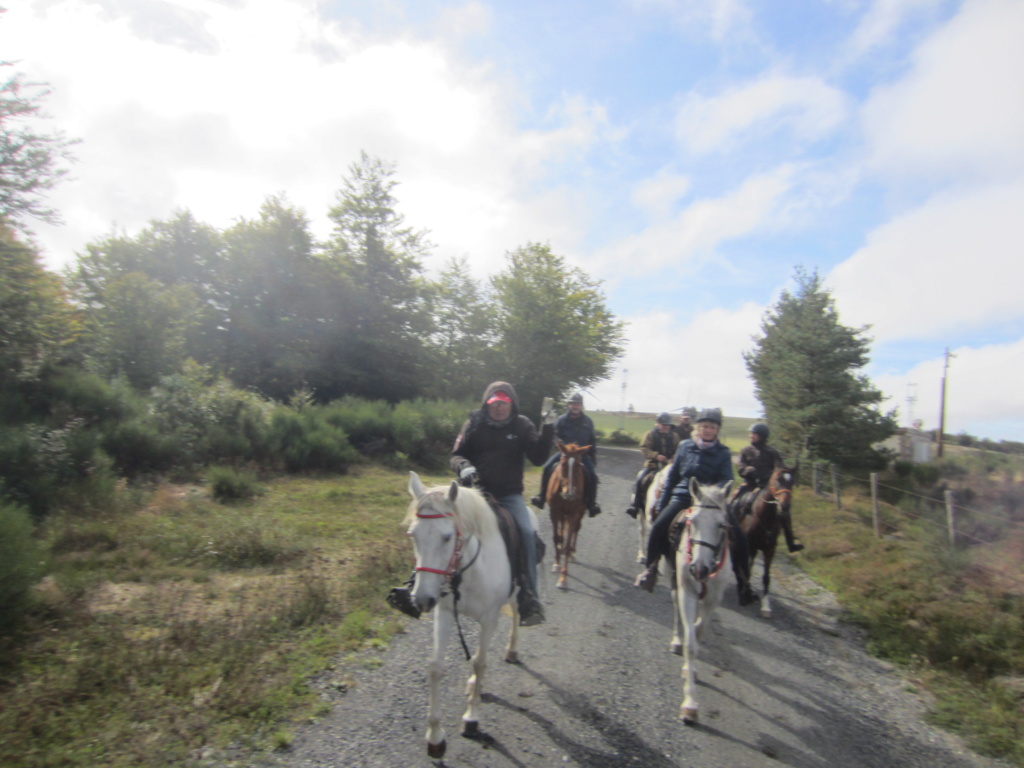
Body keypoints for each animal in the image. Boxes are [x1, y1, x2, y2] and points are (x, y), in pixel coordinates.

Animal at [405, 473, 520, 761]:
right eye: (412, 535)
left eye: (447, 537)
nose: (421, 599)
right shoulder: (444, 613)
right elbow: (436, 667)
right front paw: (435, 737)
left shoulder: (489, 619)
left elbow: (480, 663)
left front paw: (471, 718)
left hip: (516, 595)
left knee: (516, 616)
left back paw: (512, 650)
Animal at [544, 442, 593, 593]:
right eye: (564, 465)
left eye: (577, 466)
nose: (569, 494)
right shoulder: (554, 512)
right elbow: (556, 537)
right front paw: (556, 563)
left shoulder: (573, 513)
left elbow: (566, 543)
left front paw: (563, 579)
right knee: (561, 532)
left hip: (579, 513)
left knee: (576, 530)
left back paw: (572, 553)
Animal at [667, 479, 733, 724]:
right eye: (692, 521)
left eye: (722, 525)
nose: (699, 569)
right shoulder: (687, 591)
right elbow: (690, 645)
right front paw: (690, 703)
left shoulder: (713, 599)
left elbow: (699, 630)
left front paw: (690, 670)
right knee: (676, 610)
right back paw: (676, 640)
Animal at [733, 462, 794, 618]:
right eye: (777, 479)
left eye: (792, 482)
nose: (784, 506)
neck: (765, 517)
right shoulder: (748, 545)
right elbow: (746, 570)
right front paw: (746, 594)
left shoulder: (769, 549)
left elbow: (766, 576)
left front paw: (765, 606)